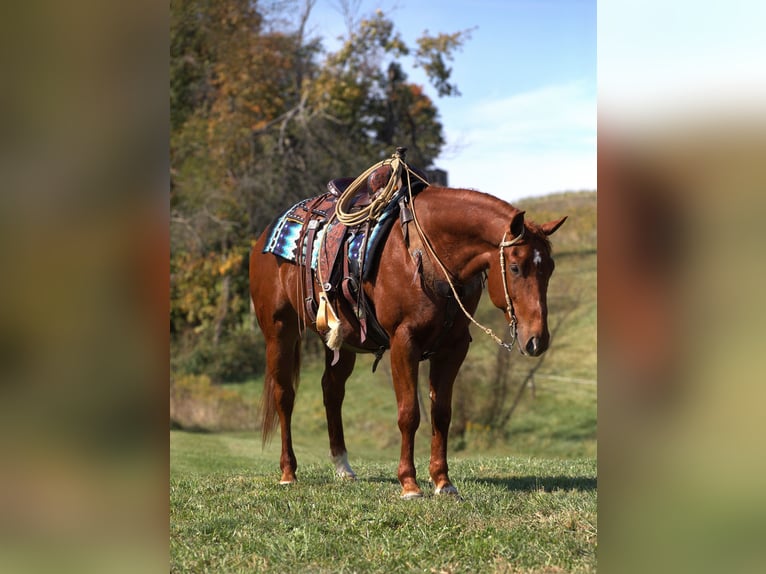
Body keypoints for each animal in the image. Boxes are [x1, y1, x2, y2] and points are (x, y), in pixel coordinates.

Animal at [249, 184, 568, 500]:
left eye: (550, 268)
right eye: (515, 268)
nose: (537, 340)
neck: (429, 255)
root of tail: (264, 237)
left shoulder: (454, 348)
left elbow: (441, 414)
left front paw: (443, 481)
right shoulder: (404, 342)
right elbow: (409, 413)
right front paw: (409, 483)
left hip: (342, 341)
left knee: (332, 391)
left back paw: (342, 466)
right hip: (279, 331)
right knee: (284, 396)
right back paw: (288, 472)